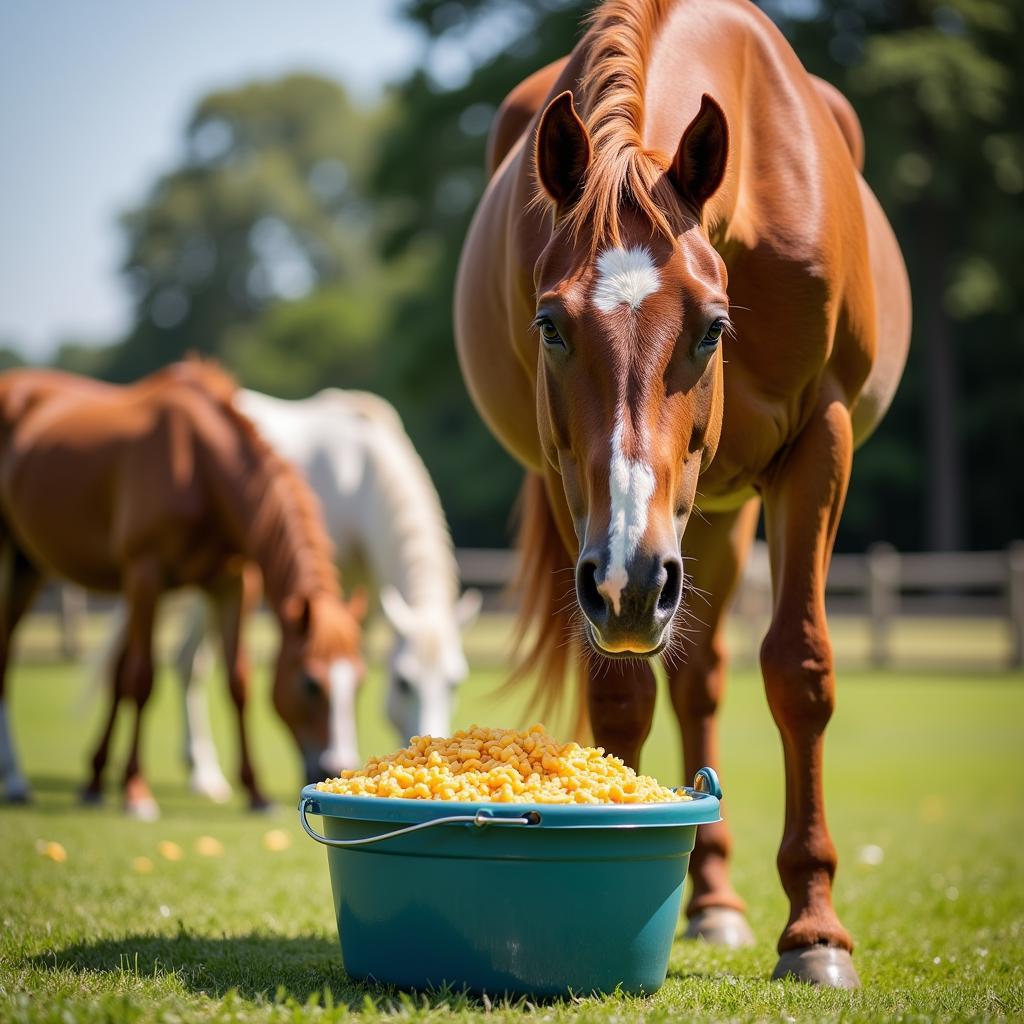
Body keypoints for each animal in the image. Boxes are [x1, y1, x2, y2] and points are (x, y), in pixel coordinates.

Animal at [0, 364, 366, 819]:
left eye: (360, 682)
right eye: (311, 684)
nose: (338, 762)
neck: (200, 467)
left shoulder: (232, 583)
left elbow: (236, 682)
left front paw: (256, 794)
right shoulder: (145, 575)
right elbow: (141, 679)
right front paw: (136, 791)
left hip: (27, 564)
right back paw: (16, 782)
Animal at [107, 387, 479, 794]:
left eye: (455, 681)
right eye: (403, 681)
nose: (431, 739)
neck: (359, 479)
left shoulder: (361, 592)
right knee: (188, 661)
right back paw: (202, 773)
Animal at [456, 0, 913, 987]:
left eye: (711, 328)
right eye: (550, 325)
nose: (630, 582)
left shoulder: (820, 443)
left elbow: (799, 667)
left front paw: (815, 933)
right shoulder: (582, 499)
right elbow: (622, 691)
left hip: (712, 517)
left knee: (708, 675)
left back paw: (725, 906)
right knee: (689, 675)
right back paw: (711, 901)